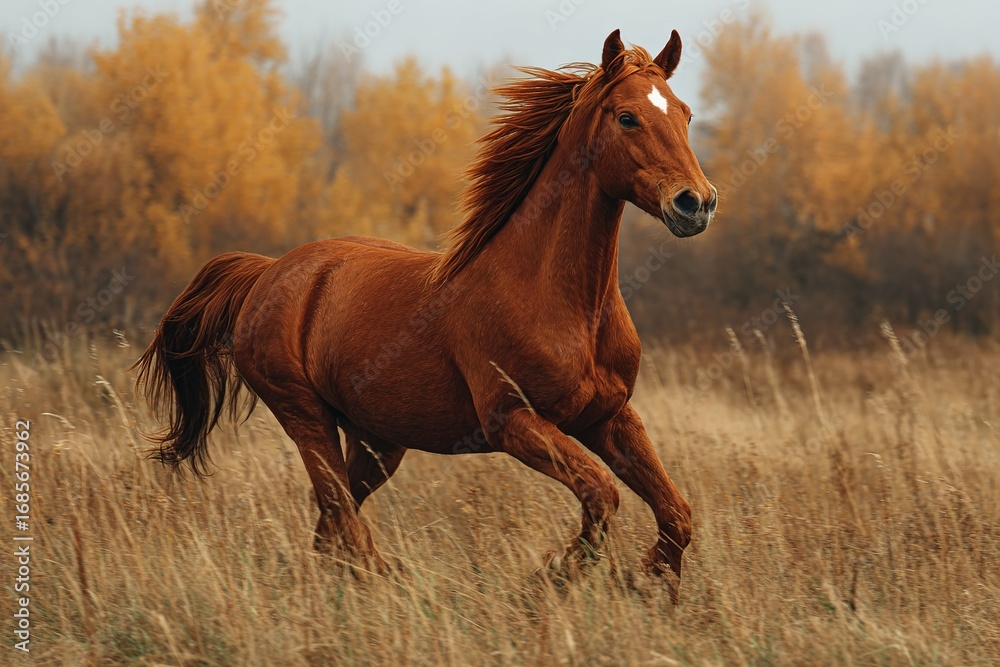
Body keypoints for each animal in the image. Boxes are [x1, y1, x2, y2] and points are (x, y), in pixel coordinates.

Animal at [134, 28, 717, 601]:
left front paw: (653, 580)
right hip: (305, 417)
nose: (696, 203)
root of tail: (267, 271)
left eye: (686, 113)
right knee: (343, 522)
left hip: (377, 439)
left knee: (332, 527)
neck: (563, 302)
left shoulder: (610, 417)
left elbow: (677, 511)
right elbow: (601, 493)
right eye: (627, 117)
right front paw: (546, 580)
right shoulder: (511, 420)